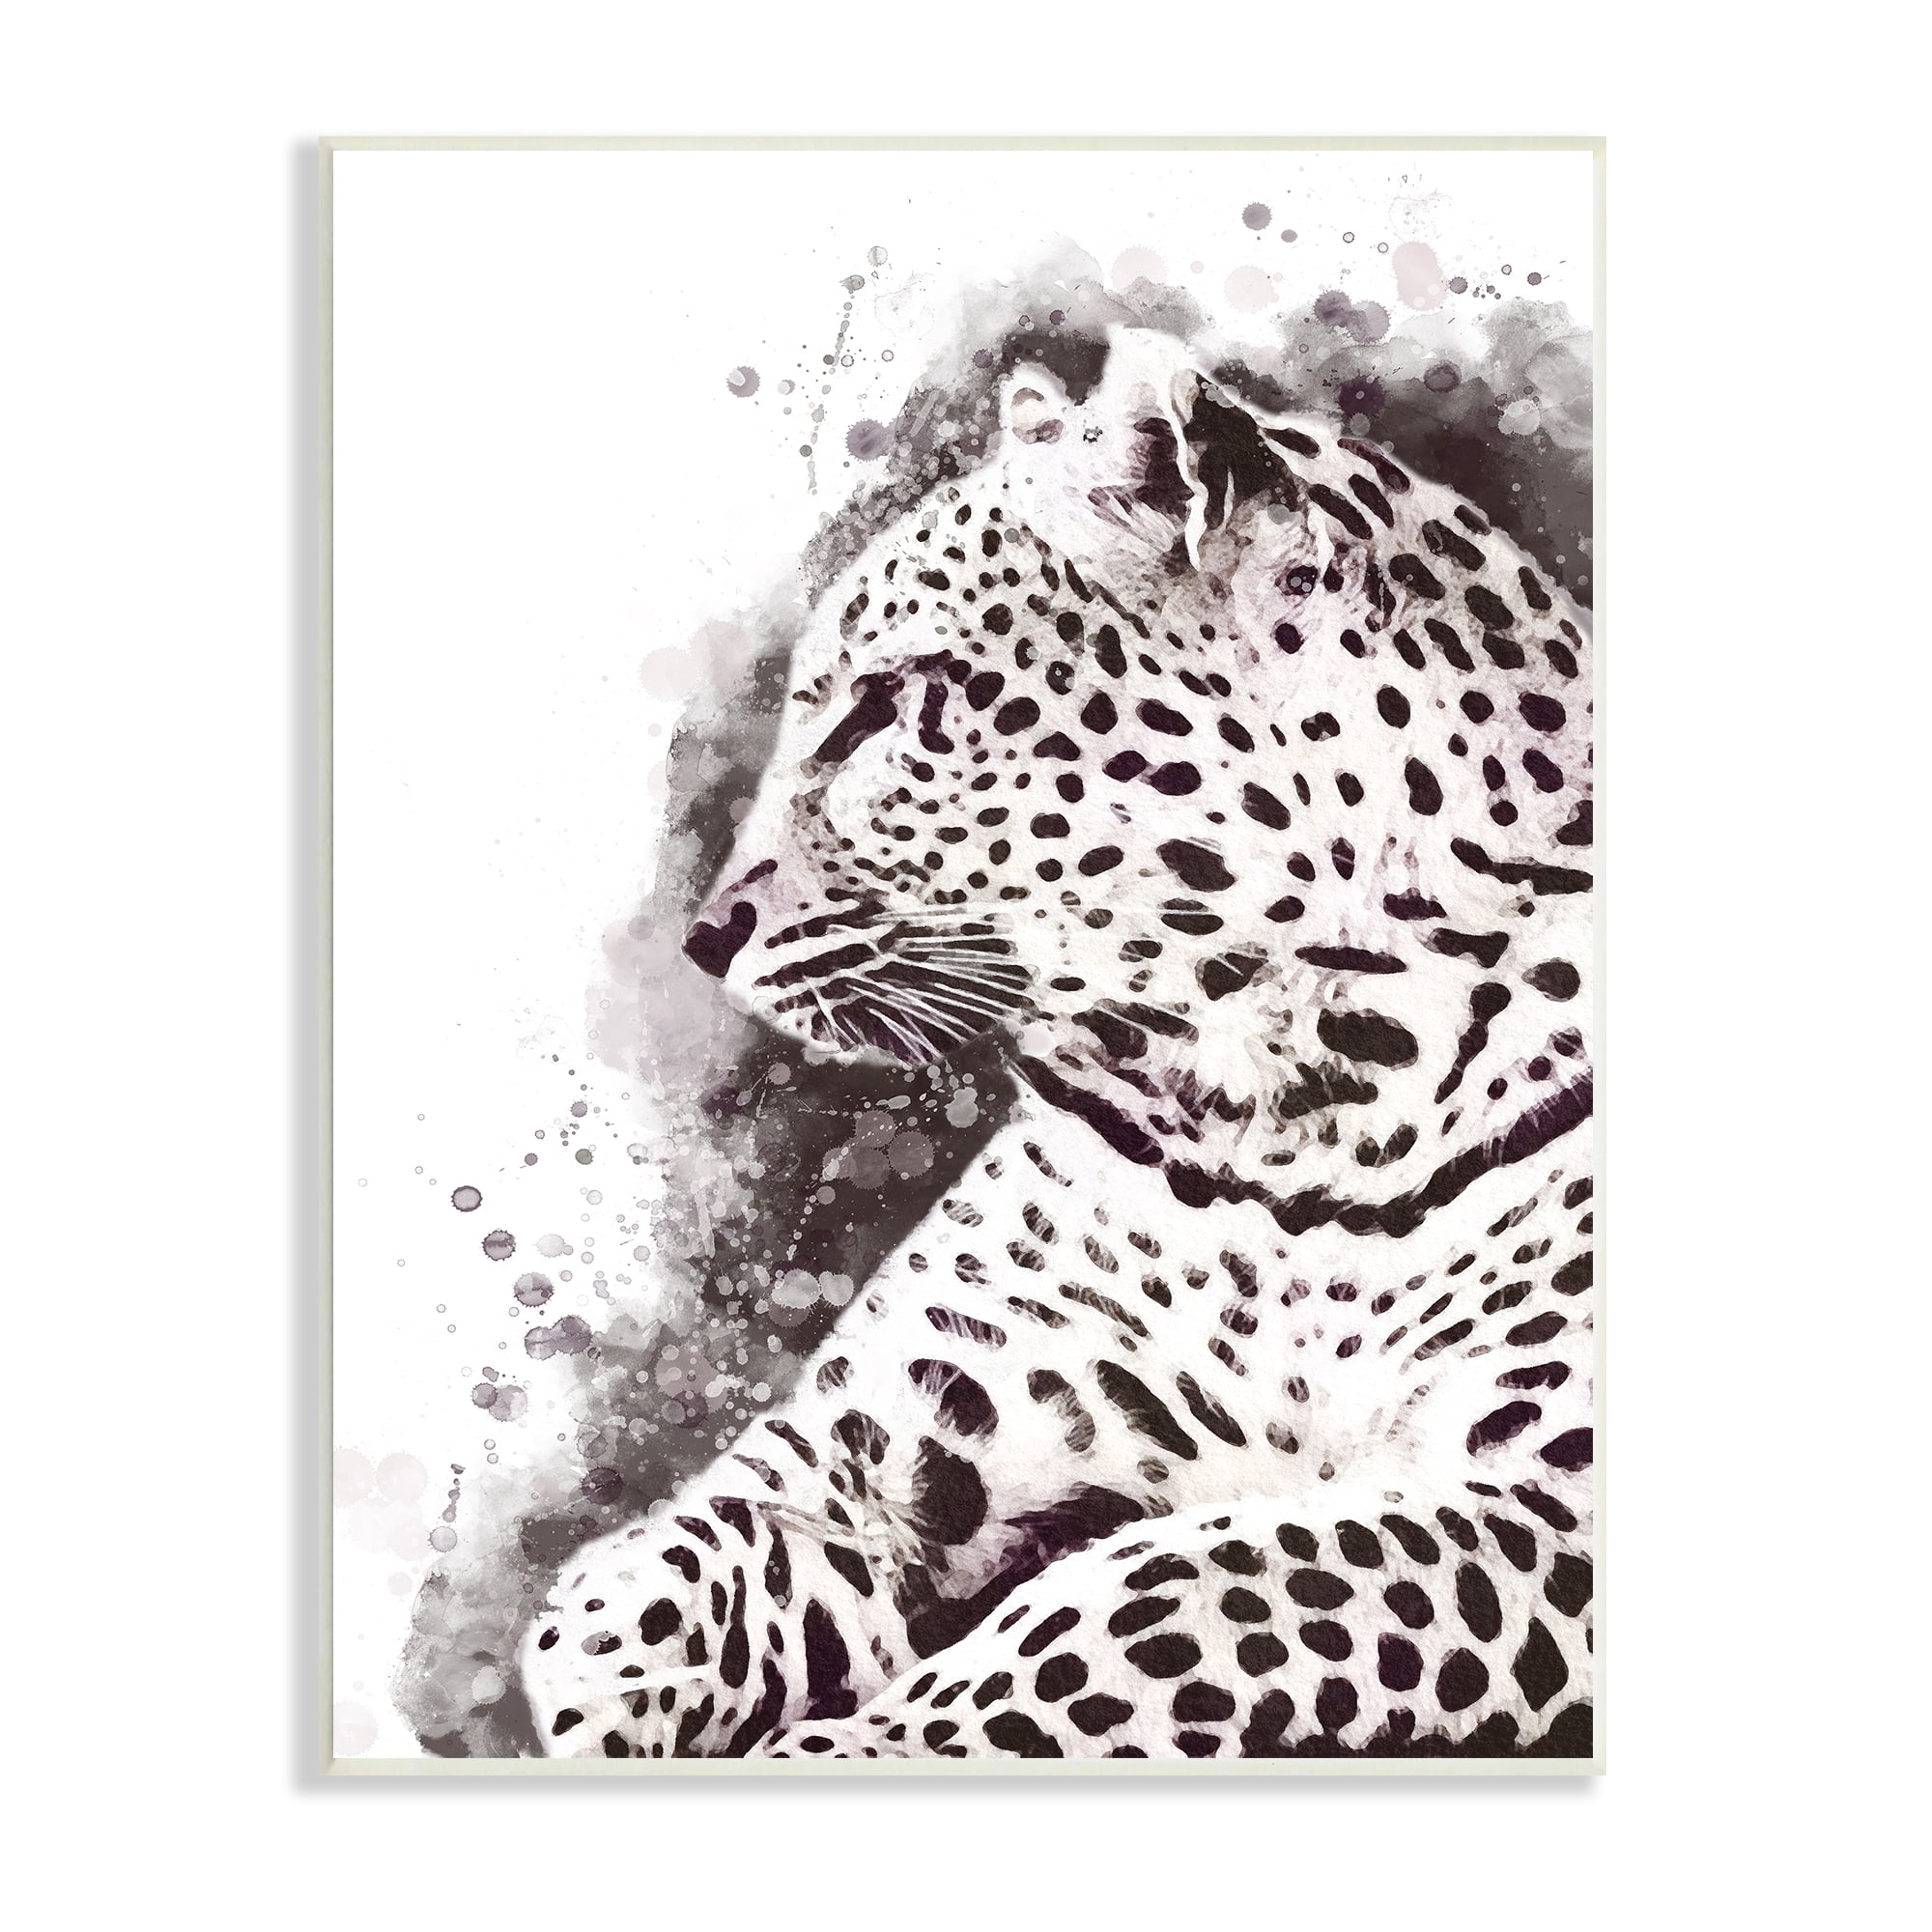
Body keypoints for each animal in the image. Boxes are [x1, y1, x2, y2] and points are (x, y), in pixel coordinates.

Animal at [519, 326, 1596, 1763]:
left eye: (888, 705)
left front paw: (848, 1747)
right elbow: (660, 1572)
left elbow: (1162, 1597)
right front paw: (621, 1679)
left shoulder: (1544, 1491)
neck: (1286, 1108)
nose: (705, 933)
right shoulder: (886, 1433)